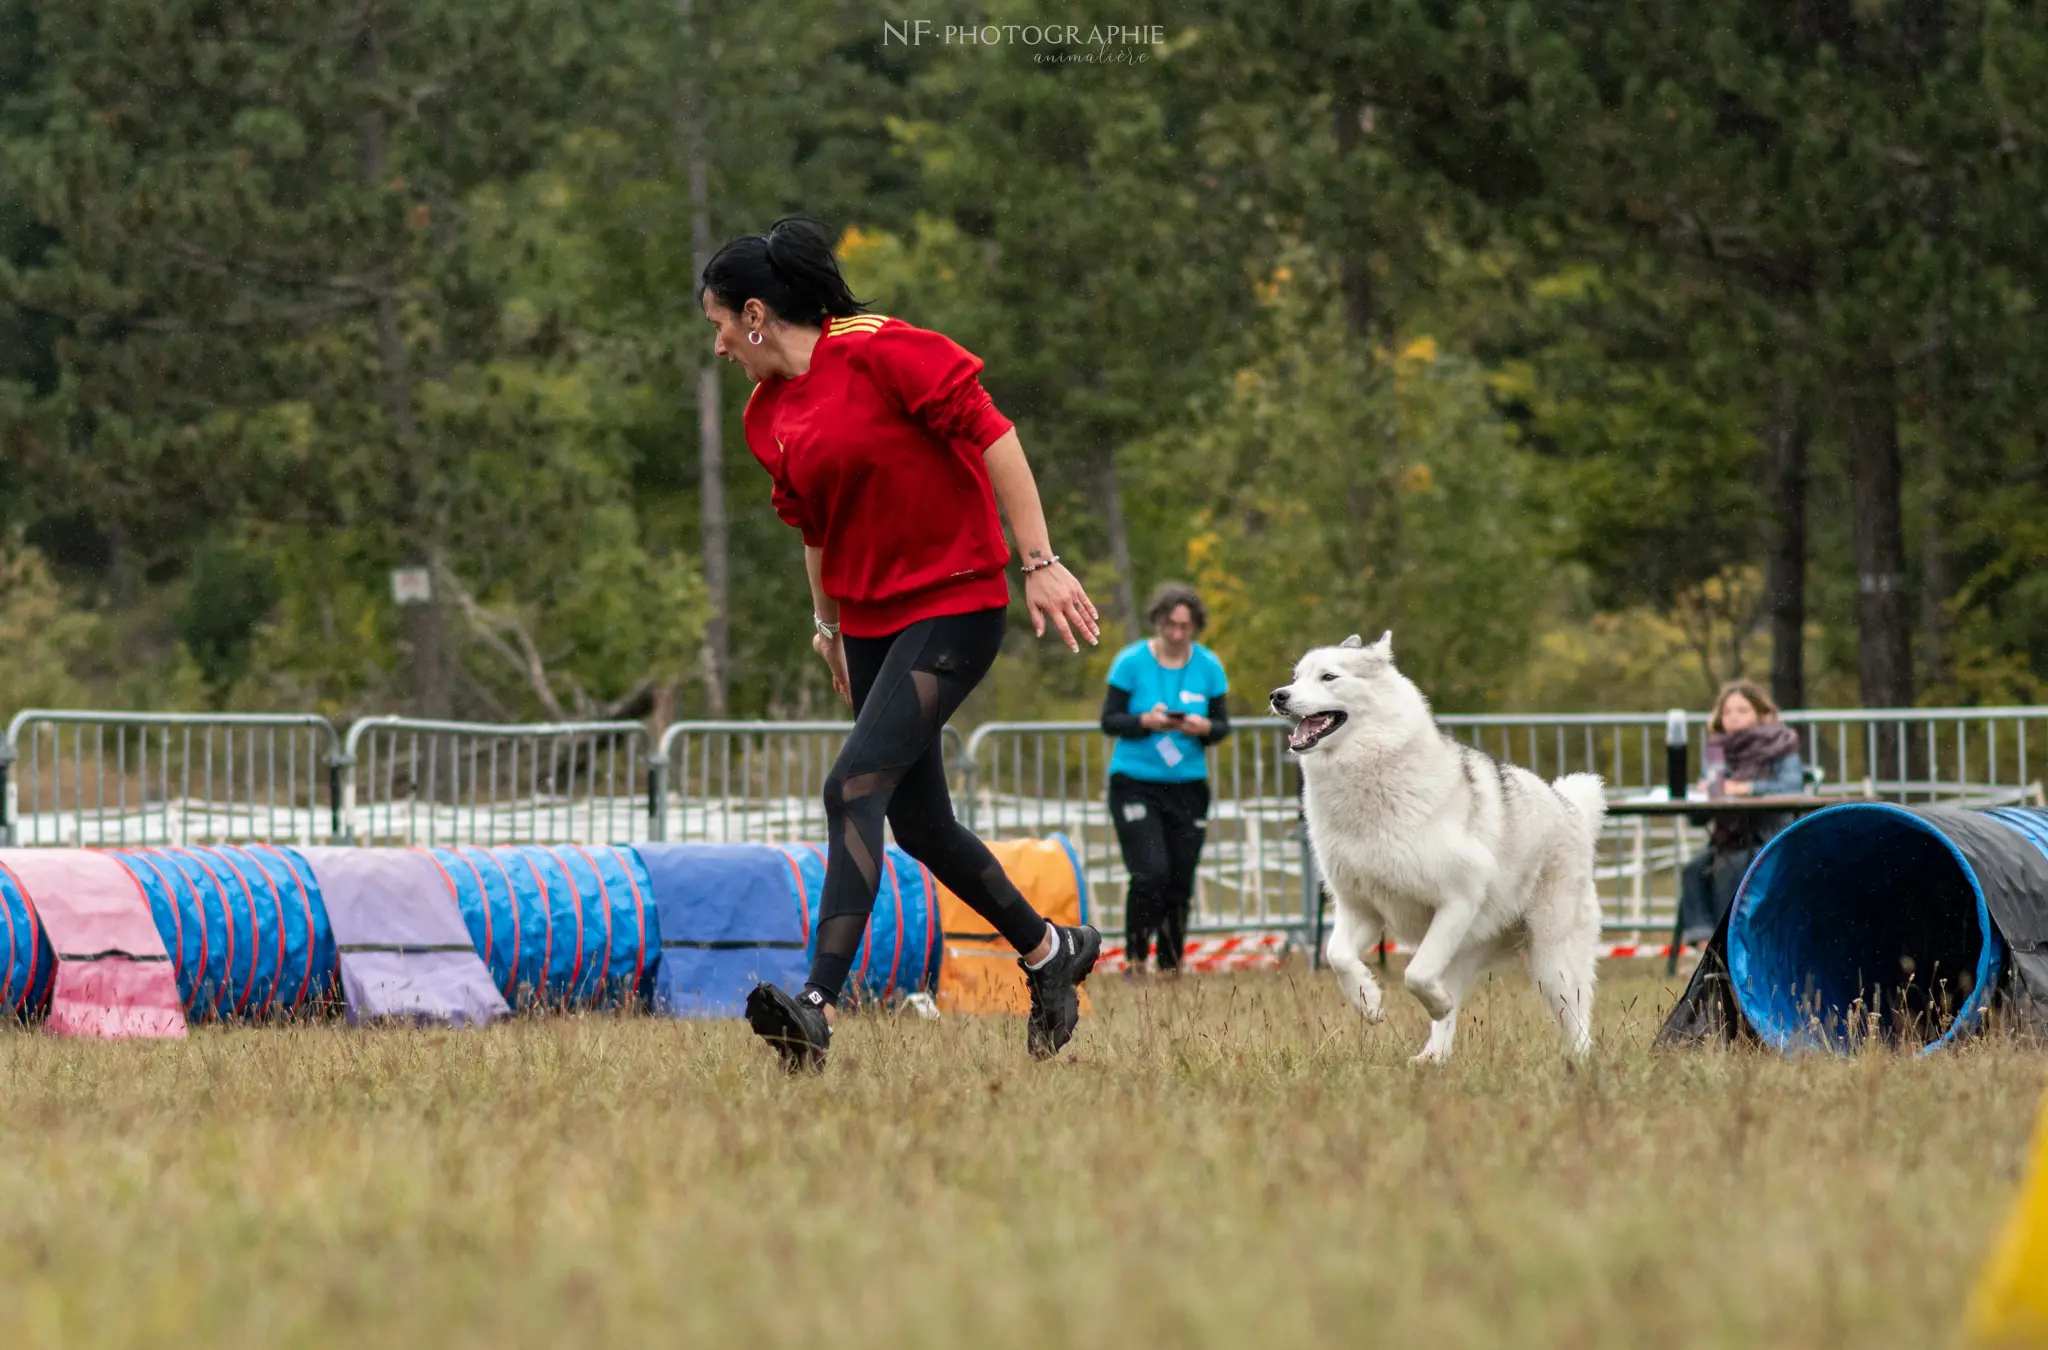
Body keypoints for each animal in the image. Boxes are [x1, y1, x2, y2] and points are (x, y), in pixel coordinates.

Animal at [1269, 635, 1605, 1065]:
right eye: (1296, 677)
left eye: (1329, 676)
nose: (1278, 695)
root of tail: (1572, 808)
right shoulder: (1360, 910)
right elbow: (1338, 956)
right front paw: (1368, 1001)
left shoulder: (1456, 902)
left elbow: (1414, 973)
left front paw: (1425, 1001)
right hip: (1468, 949)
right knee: (1450, 1005)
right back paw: (1432, 1058)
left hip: (1551, 960)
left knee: (1577, 1017)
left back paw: (1579, 1062)